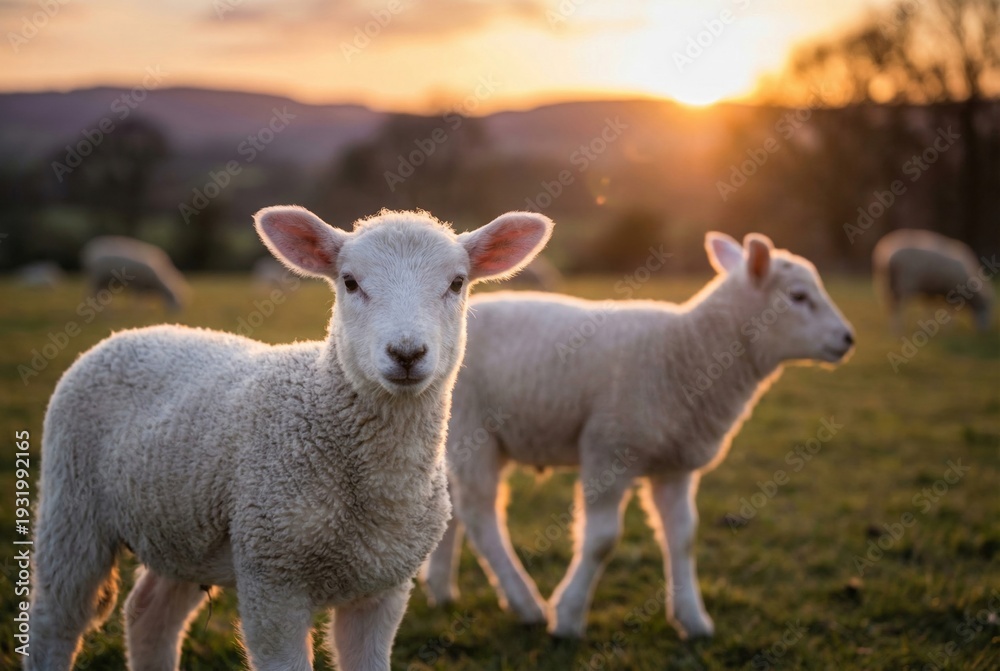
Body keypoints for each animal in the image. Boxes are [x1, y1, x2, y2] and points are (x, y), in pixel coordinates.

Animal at [30, 205, 553, 671]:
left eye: (457, 283)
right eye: (350, 282)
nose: (406, 353)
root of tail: (134, 332)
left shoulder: (383, 589)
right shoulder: (273, 581)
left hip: (179, 529)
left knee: (148, 616)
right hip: (73, 506)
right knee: (55, 620)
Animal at [423, 231, 854, 640]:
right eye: (798, 296)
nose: (848, 338)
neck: (687, 351)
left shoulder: (675, 467)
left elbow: (682, 536)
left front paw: (693, 620)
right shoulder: (608, 448)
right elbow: (602, 540)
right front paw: (568, 618)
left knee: (451, 505)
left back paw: (442, 590)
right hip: (473, 430)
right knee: (479, 514)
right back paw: (525, 604)